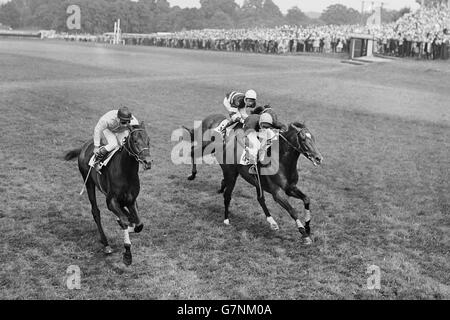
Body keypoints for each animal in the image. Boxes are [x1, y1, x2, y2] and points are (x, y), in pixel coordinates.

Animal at [63, 122, 151, 264]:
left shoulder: (131, 200)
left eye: (148, 141)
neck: (126, 173)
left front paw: (130, 225)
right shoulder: (111, 201)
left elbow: (138, 224)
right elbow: (125, 221)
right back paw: (106, 244)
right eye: (135, 141)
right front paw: (127, 254)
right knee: (95, 211)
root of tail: (84, 146)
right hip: (89, 183)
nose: (148, 162)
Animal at [184, 114, 324, 244]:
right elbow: (292, 210)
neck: (282, 162)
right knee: (227, 195)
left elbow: (306, 199)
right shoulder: (277, 193)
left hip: (252, 180)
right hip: (230, 174)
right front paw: (304, 234)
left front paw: (307, 226)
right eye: (303, 138)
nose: (318, 158)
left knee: (260, 199)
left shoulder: (290, 188)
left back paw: (272, 222)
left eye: (313, 138)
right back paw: (226, 219)